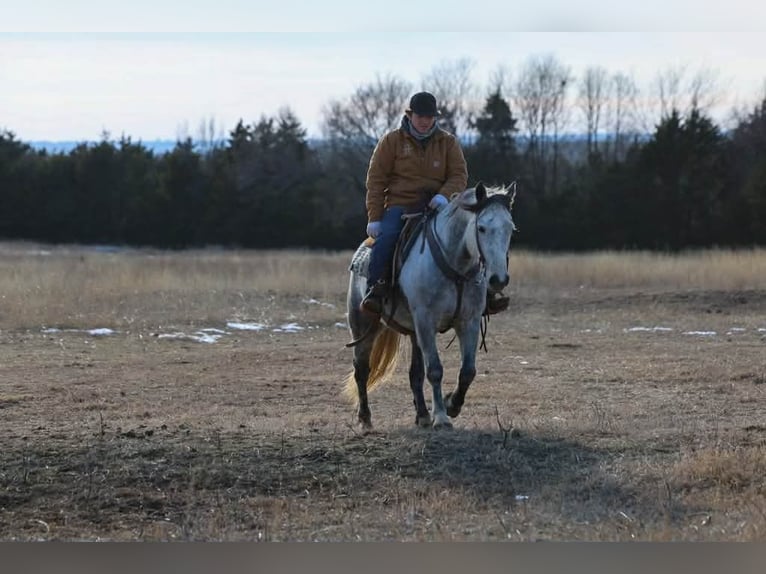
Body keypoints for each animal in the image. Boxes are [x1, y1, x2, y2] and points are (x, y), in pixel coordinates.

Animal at [344, 182, 516, 431]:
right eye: (482, 228)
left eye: (510, 229)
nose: (498, 279)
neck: (455, 267)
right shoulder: (426, 321)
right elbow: (434, 370)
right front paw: (442, 417)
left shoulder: (469, 321)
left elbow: (468, 371)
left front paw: (452, 405)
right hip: (363, 325)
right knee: (362, 369)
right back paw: (365, 418)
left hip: (414, 333)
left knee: (414, 373)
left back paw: (423, 415)